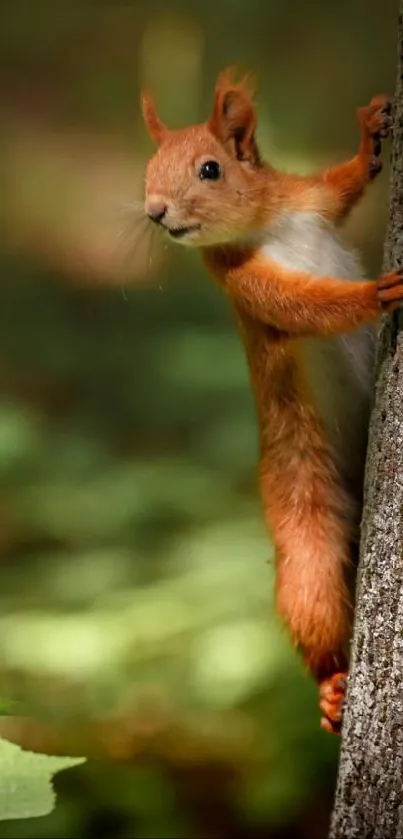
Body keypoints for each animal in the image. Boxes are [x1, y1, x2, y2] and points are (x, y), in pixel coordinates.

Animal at [140, 69, 402, 732]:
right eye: (147, 171)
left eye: (210, 169)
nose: (155, 212)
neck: (266, 227)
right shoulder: (245, 283)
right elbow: (307, 306)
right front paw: (376, 294)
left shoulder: (308, 201)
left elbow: (342, 185)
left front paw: (372, 133)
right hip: (304, 528)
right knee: (313, 603)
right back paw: (331, 688)